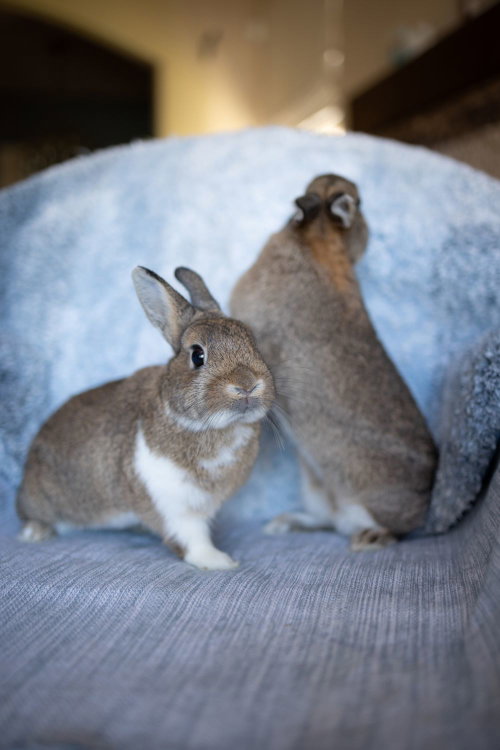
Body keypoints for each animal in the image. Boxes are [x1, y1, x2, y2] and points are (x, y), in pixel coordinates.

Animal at [17, 266, 275, 570]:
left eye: (252, 342)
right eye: (197, 355)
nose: (247, 385)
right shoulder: (171, 504)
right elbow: (191, 538)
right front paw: (219, 562)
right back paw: (35, 533)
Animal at [230, 174, 437, 550]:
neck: (320, 242)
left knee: (392, 531)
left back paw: (370, 540)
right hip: (316, 488)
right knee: (327, 520)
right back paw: (284, 525)